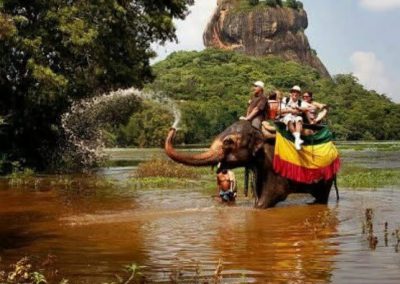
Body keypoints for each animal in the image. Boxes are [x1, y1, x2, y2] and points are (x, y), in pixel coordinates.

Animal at [164, 120, 336, 209]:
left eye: (228, 142)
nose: (173, 128)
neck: (258, 130)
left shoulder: (273, 164)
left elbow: (275, 194)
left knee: (322, 196)